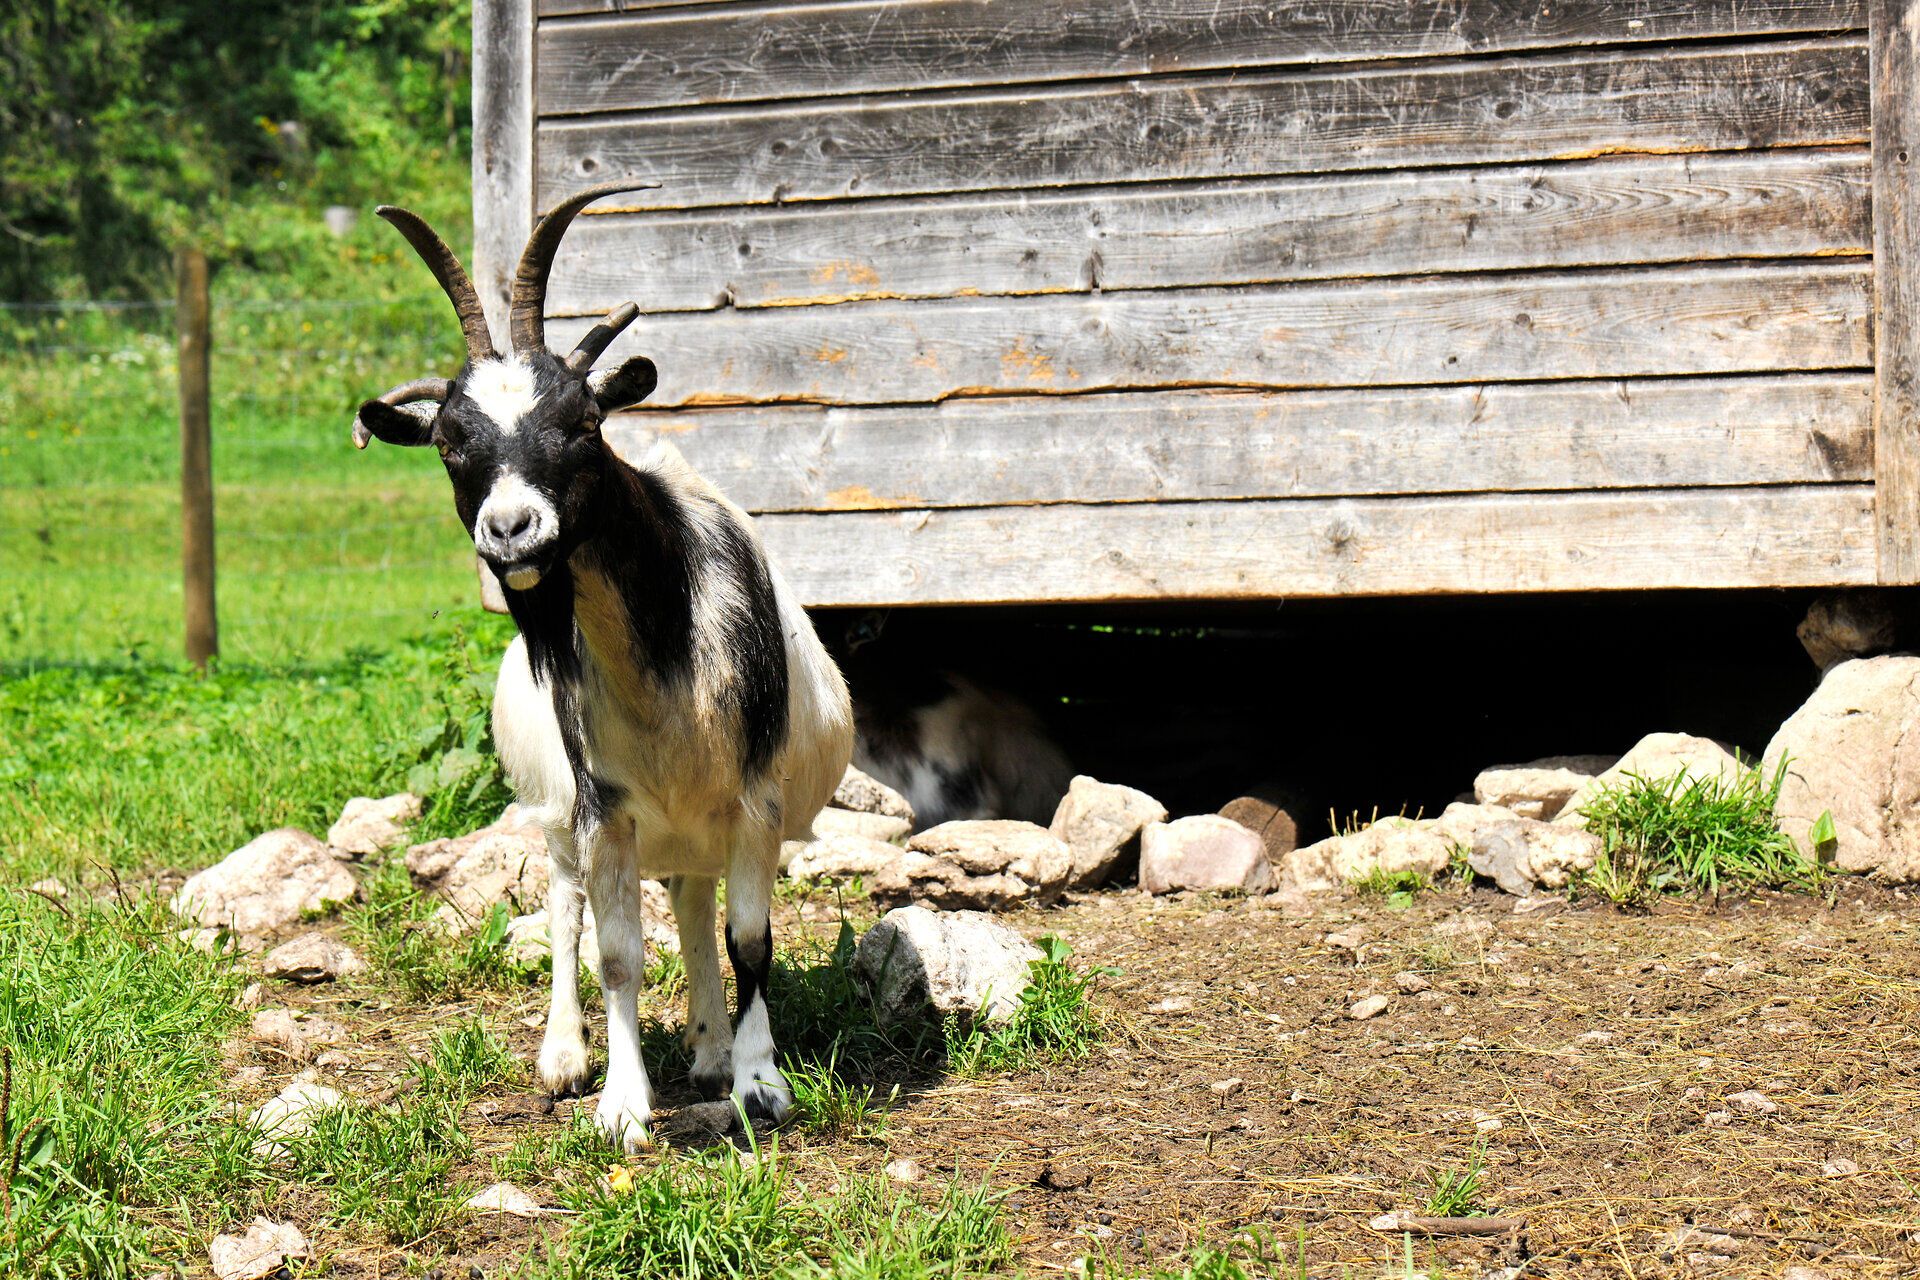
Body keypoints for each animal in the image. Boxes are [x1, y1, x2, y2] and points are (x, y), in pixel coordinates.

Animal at [352, 181, 853, 1148]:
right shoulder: (604, 808)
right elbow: (616, 954)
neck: (669, 652)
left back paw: (708, 1047)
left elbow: (749, 941)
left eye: (582, 422)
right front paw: (621, 1106)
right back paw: (564, 1057)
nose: (512, 531)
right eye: (449, 442)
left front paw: (757, 1083)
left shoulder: (757, 802)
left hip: (699, 823)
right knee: (562, 906)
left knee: (693, 905)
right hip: (555, 813)